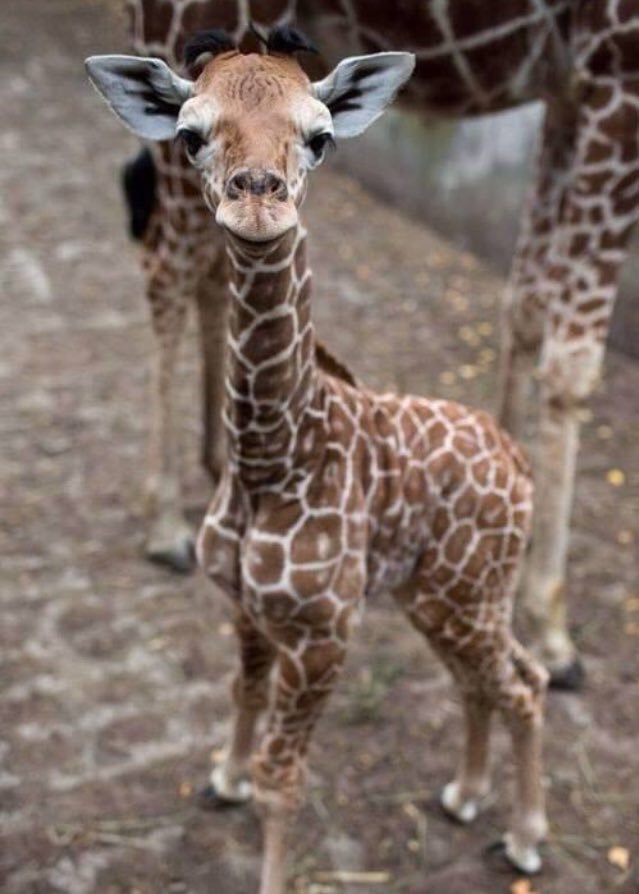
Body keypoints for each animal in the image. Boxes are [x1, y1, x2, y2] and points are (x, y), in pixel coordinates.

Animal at [86, 29, 549, 892]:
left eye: (321, 135)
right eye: (190, 134)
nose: (257, 200)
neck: (271, 458)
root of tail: (518, 459)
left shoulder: (326, 631)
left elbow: (284, 780)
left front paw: (257, 823)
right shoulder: (245, 606)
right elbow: (241, 691)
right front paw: (223, 777)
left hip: (465, 597)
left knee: (521, 685)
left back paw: (526, 837)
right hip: (443, 597)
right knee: (492, 680)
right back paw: (465, 797)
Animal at [115, 0, 639, 688]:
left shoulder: (567, 83)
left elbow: (524, 302)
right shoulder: (616, 65)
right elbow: (571, 362)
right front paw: (552, 628)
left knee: (200, 262)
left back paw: (213, 460)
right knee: (165, 263)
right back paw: (166, 523)